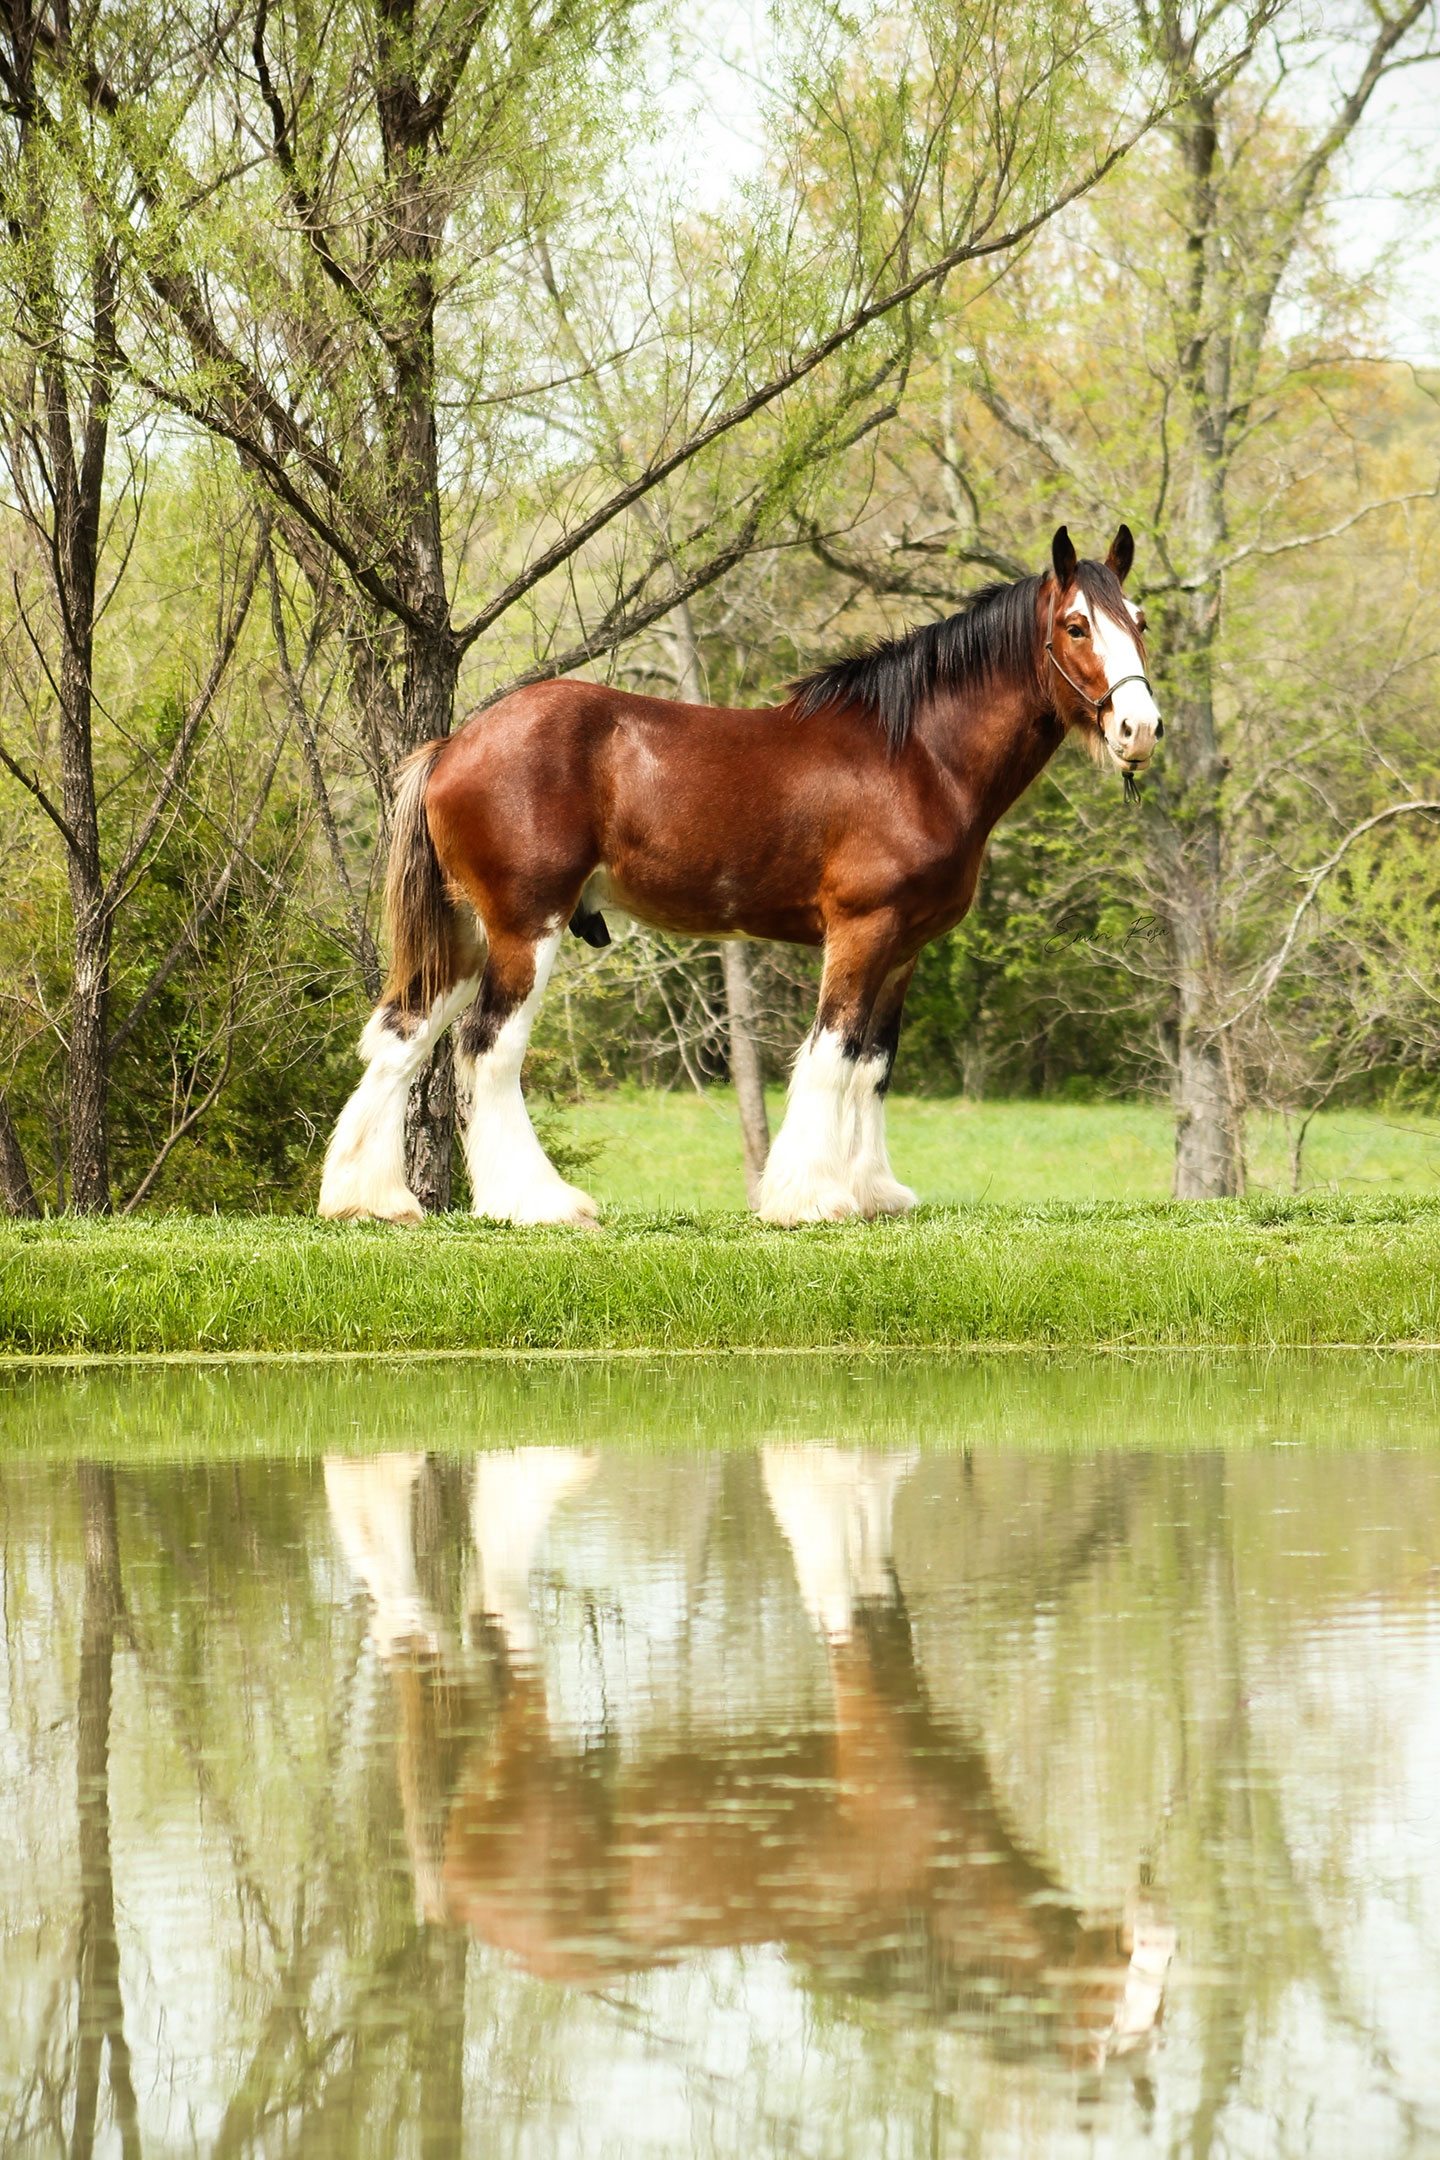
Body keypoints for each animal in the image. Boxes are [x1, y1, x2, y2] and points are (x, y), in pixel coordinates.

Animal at [318, 523, 1161, 1226]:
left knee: (400, 1037)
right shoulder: (862, 931)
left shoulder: (905, 947)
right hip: (526, 927)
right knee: (488, 1046)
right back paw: (538, 1204)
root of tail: (452, 746)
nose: (1141, 728)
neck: (918, 757)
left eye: (1140, 621)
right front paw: (810, 1199)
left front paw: (874, 1193)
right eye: (1076, 624)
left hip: (464, 934)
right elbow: (833, 1052)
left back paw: (370, 1200)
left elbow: (874, 1064)